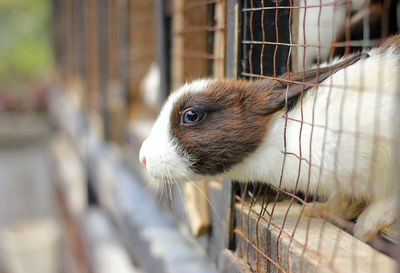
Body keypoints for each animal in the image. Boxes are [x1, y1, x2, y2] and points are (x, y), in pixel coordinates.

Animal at [140, 35, 400, 241]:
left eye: (191, 115)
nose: (142, 157)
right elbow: (341, 201)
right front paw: (318, 210)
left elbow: (388, 201)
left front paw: (365, 227)